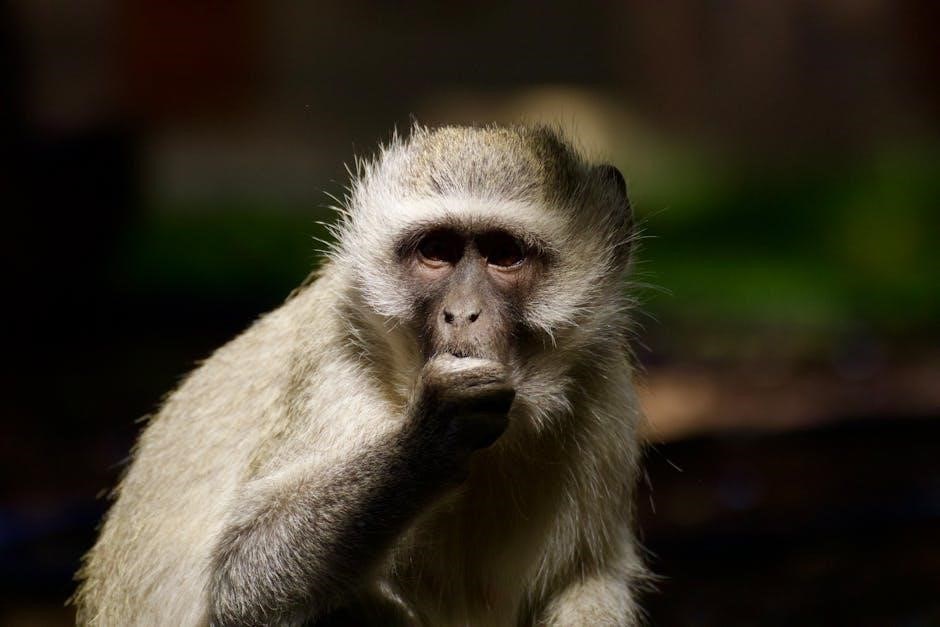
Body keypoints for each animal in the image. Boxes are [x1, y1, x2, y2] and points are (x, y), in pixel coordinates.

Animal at [73, 123, 649, 626]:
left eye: (504, 254)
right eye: (436, 251)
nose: (462, 313)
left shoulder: (603, 391)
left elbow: (588, 581)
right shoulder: (339, 364)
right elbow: (244, 577)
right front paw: (430, 437)